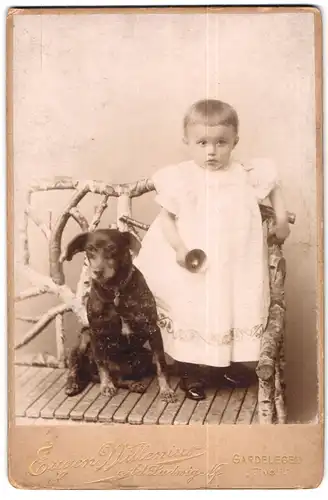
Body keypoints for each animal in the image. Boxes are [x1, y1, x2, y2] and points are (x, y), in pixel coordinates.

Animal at [60, 228, 176, 402]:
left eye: (112, 248)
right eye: (90, 249)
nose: (97, 272)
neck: (115, 290)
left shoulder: (153, 330)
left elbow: (161, 365)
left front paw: (166, 390)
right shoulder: (96, 332)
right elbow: (102, 364)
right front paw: (106, 386)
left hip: (144, 355)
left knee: (120, 378)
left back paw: (134, 384)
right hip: (83, 340)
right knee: (75, 367)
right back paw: (73, 384)